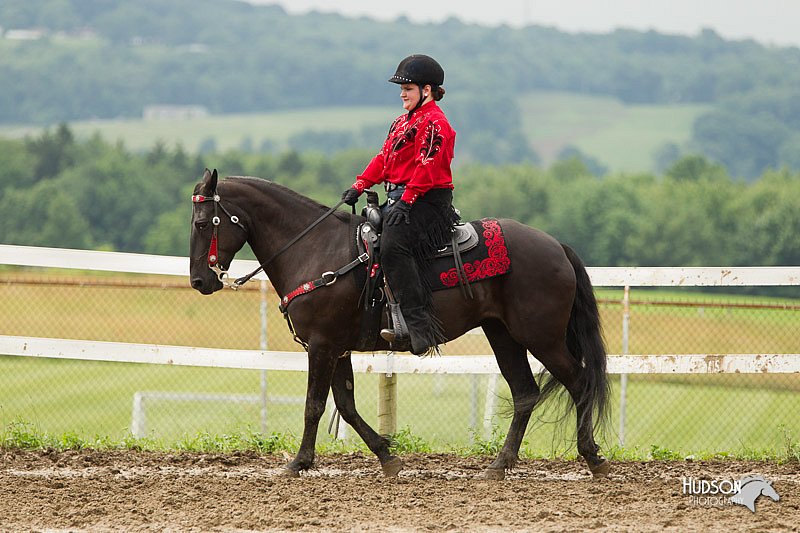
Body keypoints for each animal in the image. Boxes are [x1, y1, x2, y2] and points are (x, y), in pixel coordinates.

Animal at [189, 169, 612, 478]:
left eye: (203, 223)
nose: (199, 281)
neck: (315, 250)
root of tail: (557, 246)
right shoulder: (338, 349)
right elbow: (345, 405)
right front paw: (387, 457)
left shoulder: (322, 346)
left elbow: (314, 405)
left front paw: (298, 463)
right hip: (503, 335)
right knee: (525, 393)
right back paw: (498, 466)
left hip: (542, 338)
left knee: (579, 382)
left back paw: (593, 458)